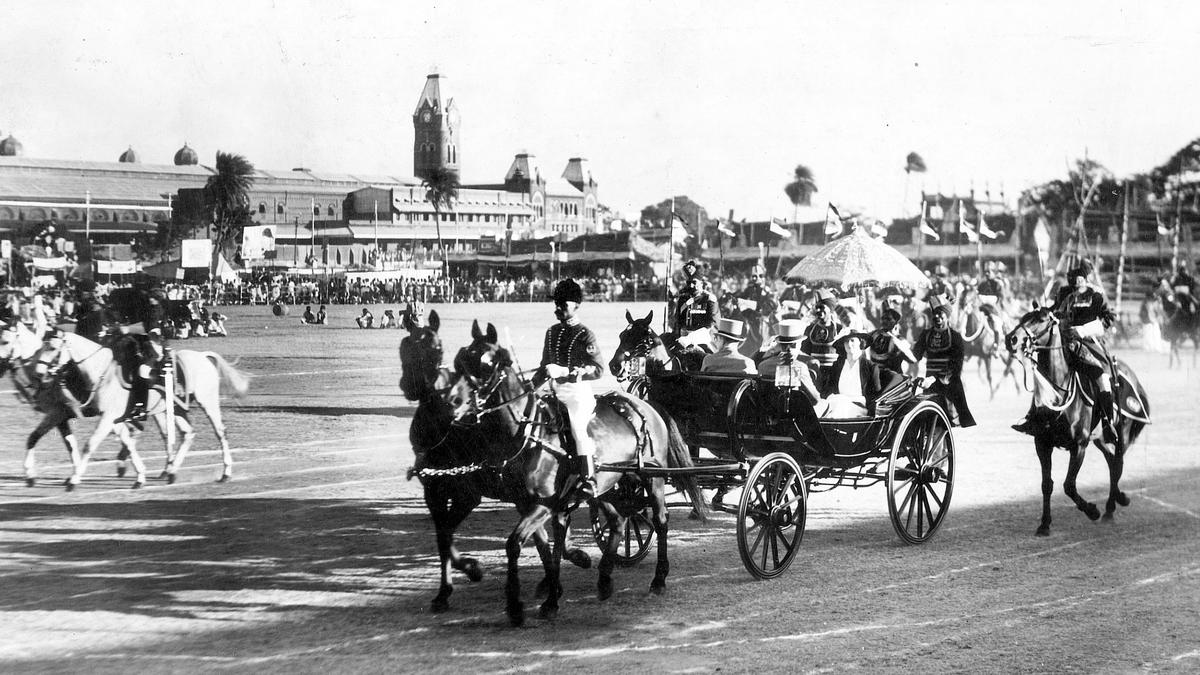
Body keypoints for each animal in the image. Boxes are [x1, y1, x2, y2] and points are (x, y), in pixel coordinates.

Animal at [0, 324, 248, 485]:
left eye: (52, 348)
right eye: (42, 347)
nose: (40, 373)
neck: (99, 372)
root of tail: (203, 356)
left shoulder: (98, 415)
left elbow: (89, 444)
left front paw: (75, 477)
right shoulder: (72, 415)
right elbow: (40, 439)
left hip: (207, 403)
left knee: (220, 432)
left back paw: (225, 472)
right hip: (176, 408)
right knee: (186, 434)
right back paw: (171, 470)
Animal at [400, 312, 592, 612]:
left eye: (437, 348)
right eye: (405, 345)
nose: (412, 387)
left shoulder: (468, 495)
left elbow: (448, 536)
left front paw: (472, 569)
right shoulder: (434, 491)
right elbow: (444, 536)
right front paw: (447, 589)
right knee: (560, 520)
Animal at [453, 324, 705, 624]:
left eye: (485, 364)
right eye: (461, 359)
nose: (454, 401)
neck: (532, 433)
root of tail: (646, 406)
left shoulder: (544, 503)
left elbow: (517, 544)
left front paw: (518, 605)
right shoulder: (529, 504)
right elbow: (546, 546)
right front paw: (551, 593)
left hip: (652, 478)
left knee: (661, 521)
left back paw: (659, 579)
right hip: (609, 485)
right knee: (619, 519)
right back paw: (605, 579)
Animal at [1003, 306, 1152, 535]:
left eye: (1041, 319)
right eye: (1024, 317)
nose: (1011, 339)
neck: (1058, 393)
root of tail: (1133, 378)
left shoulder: (1079, 445)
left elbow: (1069, 485)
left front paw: (1092, 511)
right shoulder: (1042, 444)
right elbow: (1047, 484)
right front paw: (1044, 524)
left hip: (1122, 434)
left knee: (1117, 464)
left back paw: (1111, 506)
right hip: (1100, 439)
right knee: (1112, 463)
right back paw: (1114, 503)